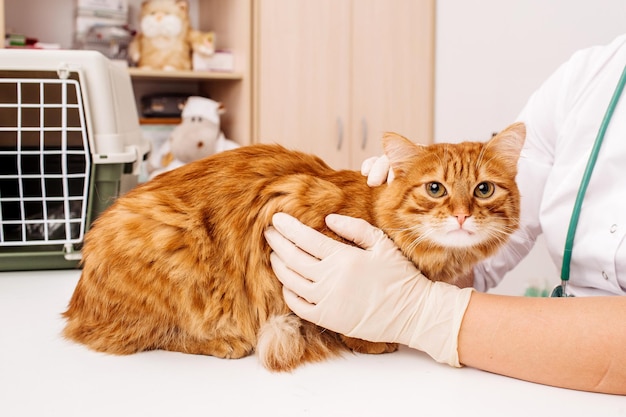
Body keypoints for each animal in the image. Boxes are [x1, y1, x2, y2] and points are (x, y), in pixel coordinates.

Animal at [63, 122, 524, 368]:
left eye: (483, 189)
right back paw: (224, 342)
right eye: (435, 189)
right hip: (173, 244)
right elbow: (341, 323)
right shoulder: (289, 202)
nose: (462, 215)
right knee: (145, 334)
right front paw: (371, 340)